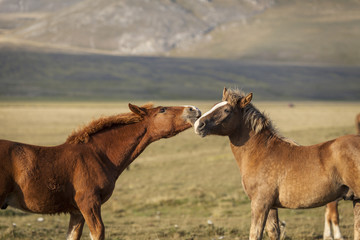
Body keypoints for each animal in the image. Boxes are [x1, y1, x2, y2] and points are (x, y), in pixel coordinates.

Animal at [0, 103, 200, 240]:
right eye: (163, 110)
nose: (194, 109)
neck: (98, 154)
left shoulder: (77, 211)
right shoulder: (89, 203)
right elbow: (98, 233)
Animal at [194, 87, 360, 240]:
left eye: (227, 110)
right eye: (214, 105)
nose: (198, 125)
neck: (261, 152)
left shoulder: (260, 204)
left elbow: (255, 234)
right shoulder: (272, 207)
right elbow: (273, 232)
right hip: (356, 200)